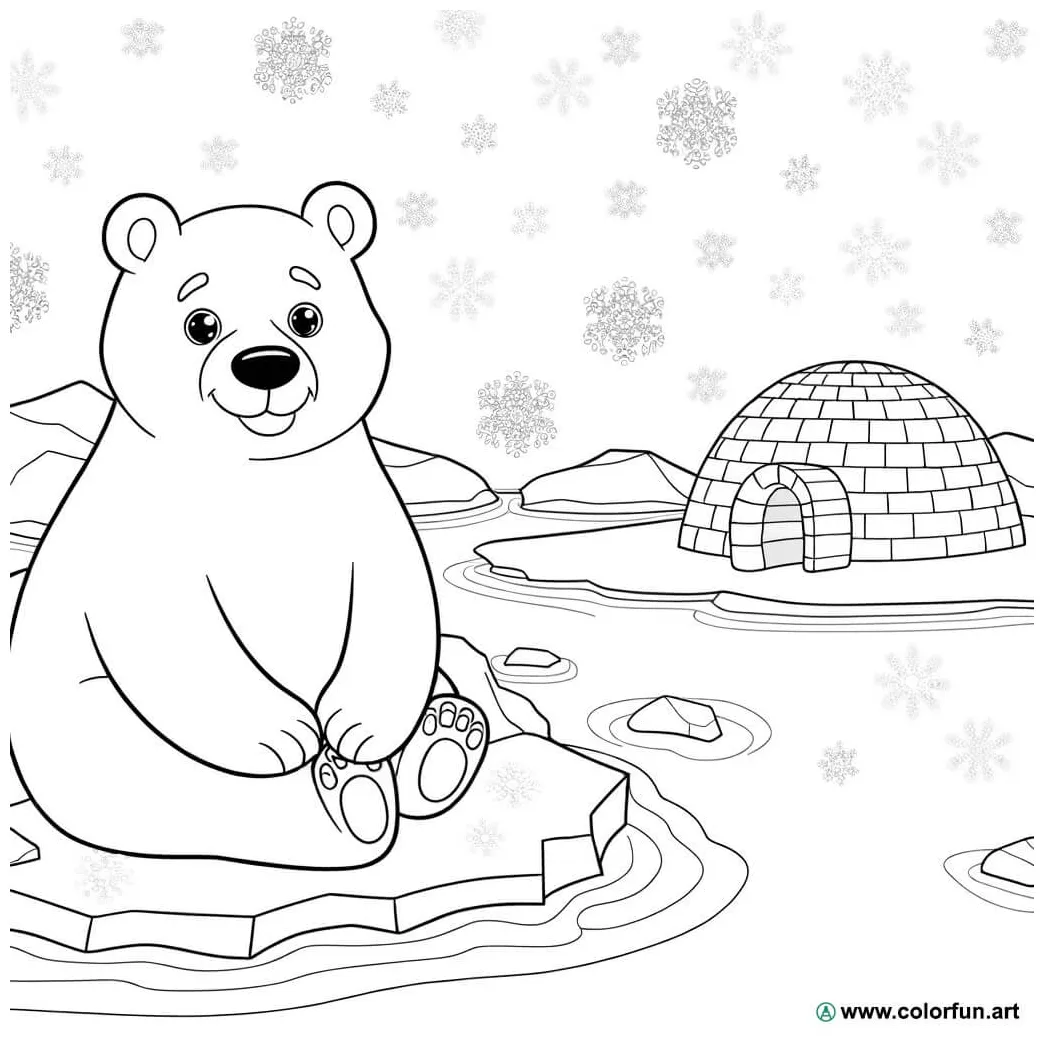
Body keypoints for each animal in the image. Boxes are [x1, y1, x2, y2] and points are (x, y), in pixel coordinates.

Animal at [10, 183, 490, 869]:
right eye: (200, 322)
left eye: (306, 315)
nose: (266, 365)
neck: (254, 476)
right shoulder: (144, 532)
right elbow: (175, 628)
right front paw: (286, 734)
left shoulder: (356, 501)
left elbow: (391, 602)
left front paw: (360, 727)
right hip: (82, 723)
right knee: (176, 793)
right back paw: (350, 803)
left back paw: (441, 742)